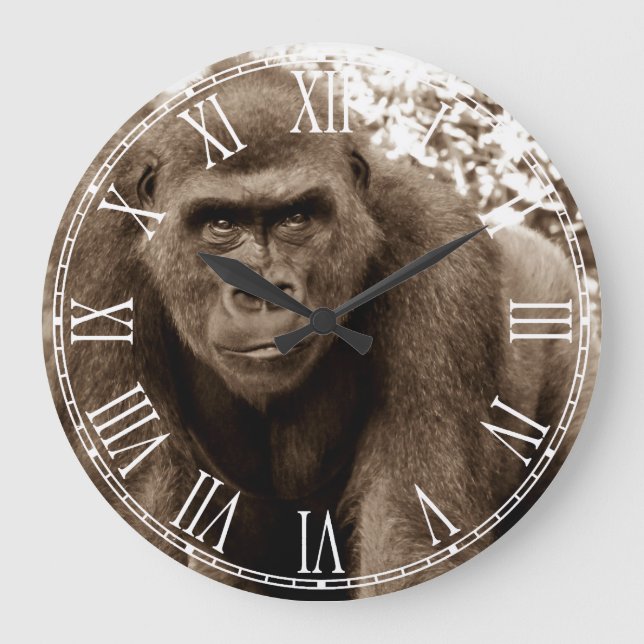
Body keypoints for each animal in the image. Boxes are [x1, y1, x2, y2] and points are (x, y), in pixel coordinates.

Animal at [43, 64, 599, 600]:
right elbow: (147, 489)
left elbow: (410, 520)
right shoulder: (90, 252)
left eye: (296, 217)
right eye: (221, 223)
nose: (265, 291)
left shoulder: (438, 247)